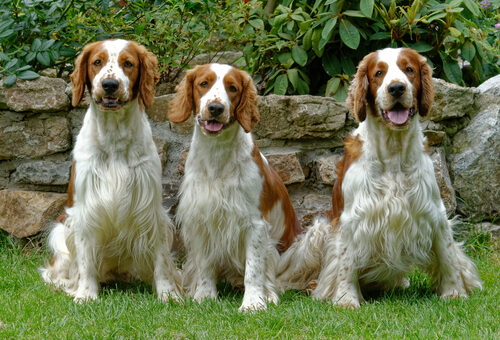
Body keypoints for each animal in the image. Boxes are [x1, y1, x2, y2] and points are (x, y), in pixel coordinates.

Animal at [39, 39, 180, 302]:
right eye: (97, 62)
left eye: (128, 63)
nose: (110, 85)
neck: (114, 136)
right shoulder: (85, 210)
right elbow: (85, 259)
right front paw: (86, 293)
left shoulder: (150, 209)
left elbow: (161, 259)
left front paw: (168, 293)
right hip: (61, 231)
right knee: (55, 270)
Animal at [168, 63, 300, 310]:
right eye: (204, 83)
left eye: (233, 88)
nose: (215, 108)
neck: (217, 157)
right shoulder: (201, 218)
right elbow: (205, 266)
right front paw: (204, 296)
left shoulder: (255, 224)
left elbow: (254, 269)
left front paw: (253, 303)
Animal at [278, 47, 480, 306]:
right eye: (378, 73)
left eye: (409, 69)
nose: (396, 88)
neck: (393, 154)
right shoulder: (352, 219)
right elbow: (346, 263)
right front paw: (346, 299)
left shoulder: (433, 212)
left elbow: (448, 256)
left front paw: (454, 292)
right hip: (318, 232)